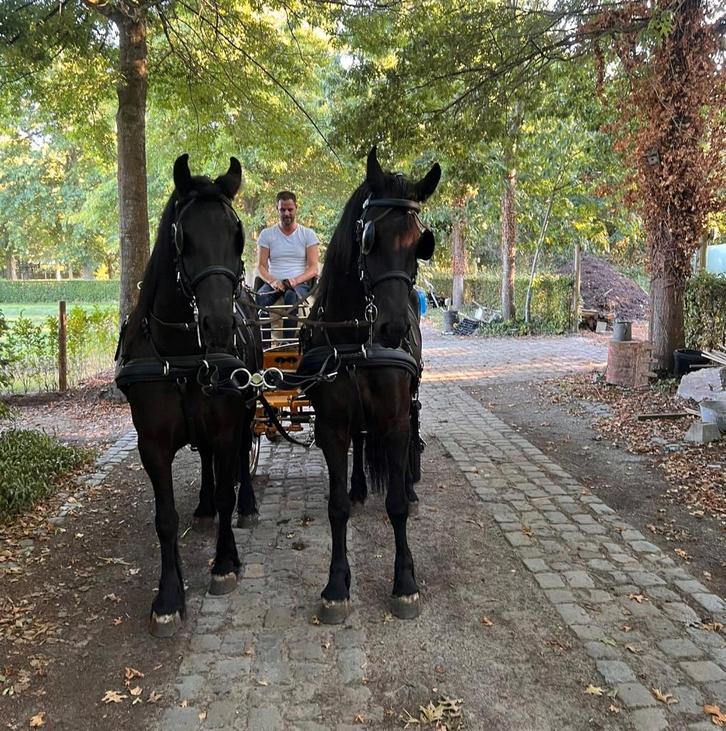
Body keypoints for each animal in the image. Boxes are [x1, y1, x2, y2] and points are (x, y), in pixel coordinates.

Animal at [115, 154, 261, 637]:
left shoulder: (226, 425)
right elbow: (165, 518)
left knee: (239, 460)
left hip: (246, 408)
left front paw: (225, 564)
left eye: (237, 235)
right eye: (184, 237)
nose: (218, 325)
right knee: (207, 464)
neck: (180, 354)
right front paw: (168, 597)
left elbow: (228, 487)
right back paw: (202, 508)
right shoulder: (152, 444)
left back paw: (246, 504)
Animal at [304, 146, 441, 623]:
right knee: (362, 441)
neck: (357, 340)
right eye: (369, 238)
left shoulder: (396, 419)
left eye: (421, 243)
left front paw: (405, 582)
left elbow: (396, 504)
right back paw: (361, 485)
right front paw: (335, 586)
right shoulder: (331, 425)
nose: (393, 328)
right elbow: (336, 508)